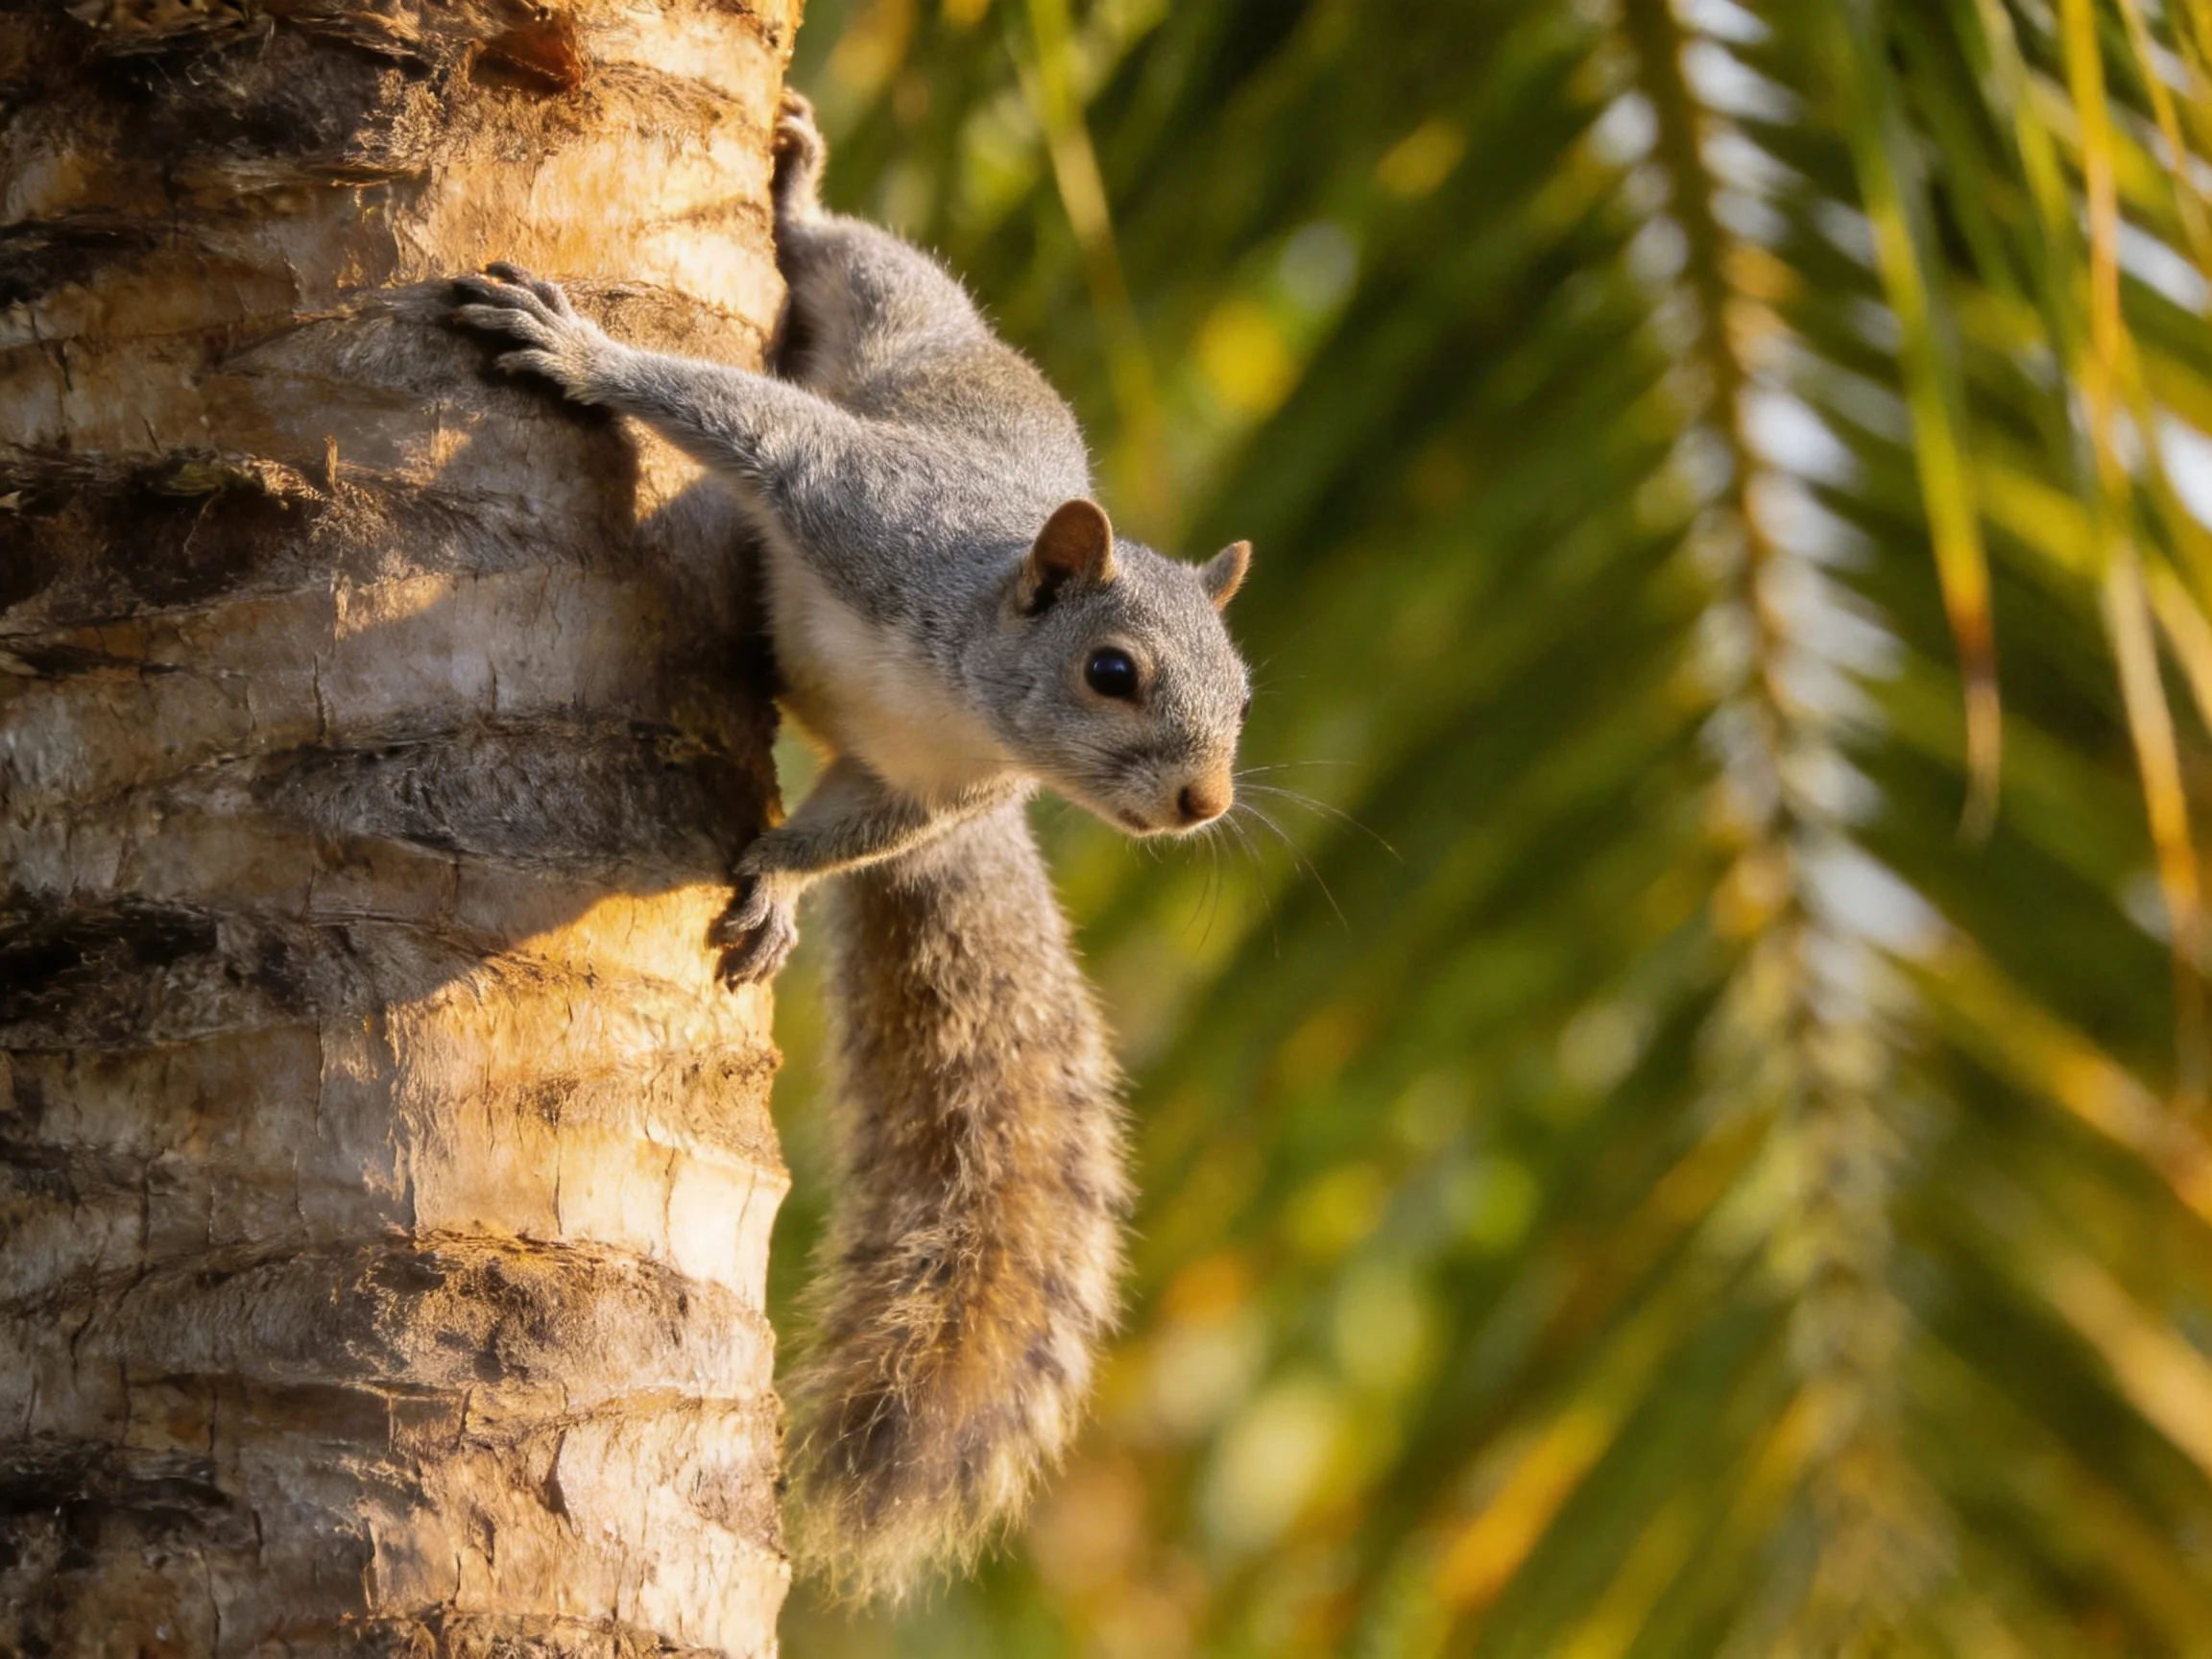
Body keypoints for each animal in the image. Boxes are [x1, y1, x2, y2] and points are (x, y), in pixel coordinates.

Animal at [451, 91, 1253, 1599]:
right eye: (1112, 673)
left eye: (1244, 696)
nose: (1205, 802)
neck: (966, 684)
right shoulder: (861, 505)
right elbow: (746, 421)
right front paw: (585, 354)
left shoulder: (938, 793)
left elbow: (849, 833)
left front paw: (773, 883)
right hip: (901, 319)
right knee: (846, 257)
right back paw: (797, 190)